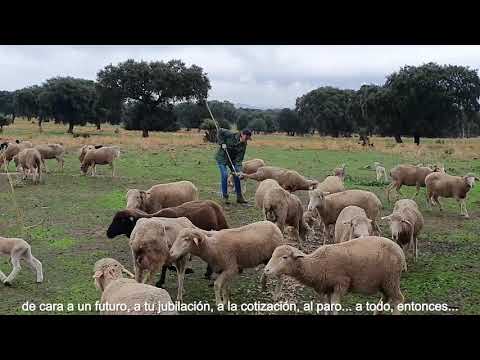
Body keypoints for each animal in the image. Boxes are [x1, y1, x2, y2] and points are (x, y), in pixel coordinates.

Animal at [262, 239, 404, 316]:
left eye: (284, 257)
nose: (266, 270)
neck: (316, 264)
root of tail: (400, 251)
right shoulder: (325, 288)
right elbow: (326, 306)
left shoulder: (340, 284)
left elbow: (335, 306)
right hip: (385, 282)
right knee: (386, 298)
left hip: (391, 278)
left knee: (398, 299)